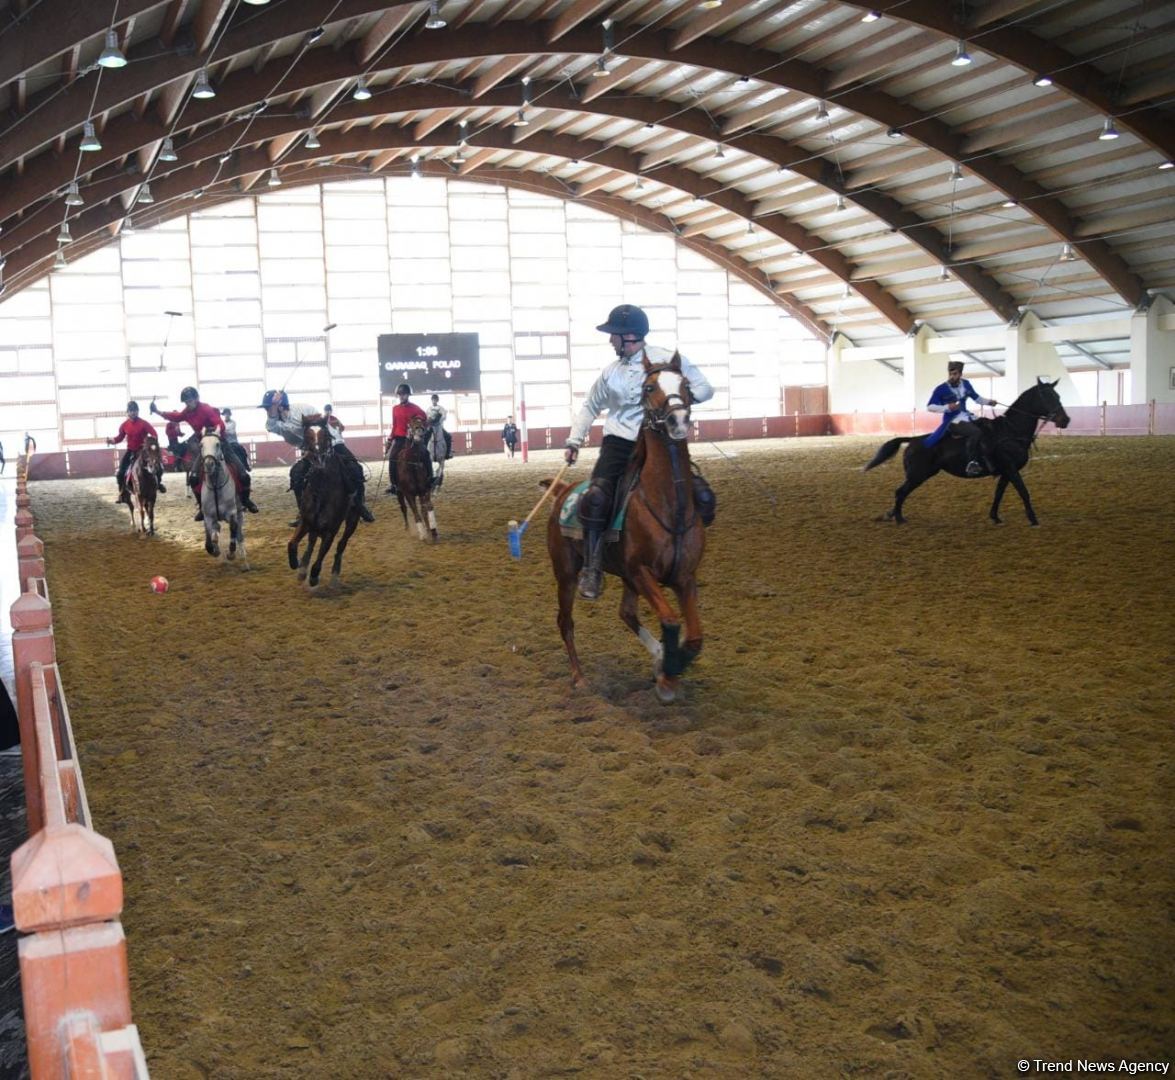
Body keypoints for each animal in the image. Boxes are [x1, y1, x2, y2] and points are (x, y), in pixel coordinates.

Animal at [198, 432, 249, 571]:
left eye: (217, 444)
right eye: (201, 444)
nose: (209, 464)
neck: (216, 486)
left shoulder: (232, 514)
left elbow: (233, 532)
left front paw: (231, 554)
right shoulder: (208, 517)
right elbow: (209, 540)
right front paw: (215, 550)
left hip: (240, 513)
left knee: (239, 534)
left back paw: (244, 561)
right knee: (217, 530)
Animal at [287, 425, 359, 592]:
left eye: (325, 436)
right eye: (307, 435)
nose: (316, 457)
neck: (321, 493)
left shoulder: (330, 532)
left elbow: (319, 559)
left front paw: (314, 577)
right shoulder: (305, 522)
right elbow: (292, 544)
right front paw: (296, 565)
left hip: (352, 521)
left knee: (341, 545)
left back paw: (334, 576)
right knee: (312, 542)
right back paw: (302, 568)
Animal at [545, 350, 700, 705]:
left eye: (685, 384)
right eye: (649, 387)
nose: (677, 421)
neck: (668, 504)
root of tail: (562, 491)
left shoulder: (684, 576)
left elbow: (695, 637)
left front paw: (670, 666)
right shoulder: (640, 571)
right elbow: (671, 620)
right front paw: (668, 675)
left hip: (625, 580)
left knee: (626, 613)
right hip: (567, 573)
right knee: (565, 621)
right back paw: (579, 677)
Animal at [864, 380, 1076, 528]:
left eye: (1058, 395)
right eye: (1048, 397)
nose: (1065, 420)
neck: (1011, 431)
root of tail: (914, 440)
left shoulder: (1006, 472)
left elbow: (999, 494)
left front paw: (995, 517)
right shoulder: (1011, 469)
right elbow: (1024, 492)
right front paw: (1033, 519)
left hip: (921, 474)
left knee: (901, 492)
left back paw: (892, 515)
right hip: (918, 474)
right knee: (900, 492)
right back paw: (899, 518)